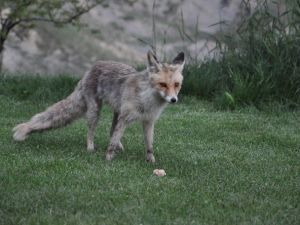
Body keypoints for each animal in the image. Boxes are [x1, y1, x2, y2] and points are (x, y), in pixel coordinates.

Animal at [12, 50, 184, 162]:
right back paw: (90, 148)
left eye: (176, 85)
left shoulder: (148, 121)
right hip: (95, 112)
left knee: (110, 131)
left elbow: (149, 145)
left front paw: (151, 161)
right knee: (91, 132)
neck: (147, 100)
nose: (173, 100)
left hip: (116, 111)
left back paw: (119, 147)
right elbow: (113, 140)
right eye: (162, 84)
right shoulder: (125, 117)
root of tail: (92, 67)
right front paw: (108, 159)